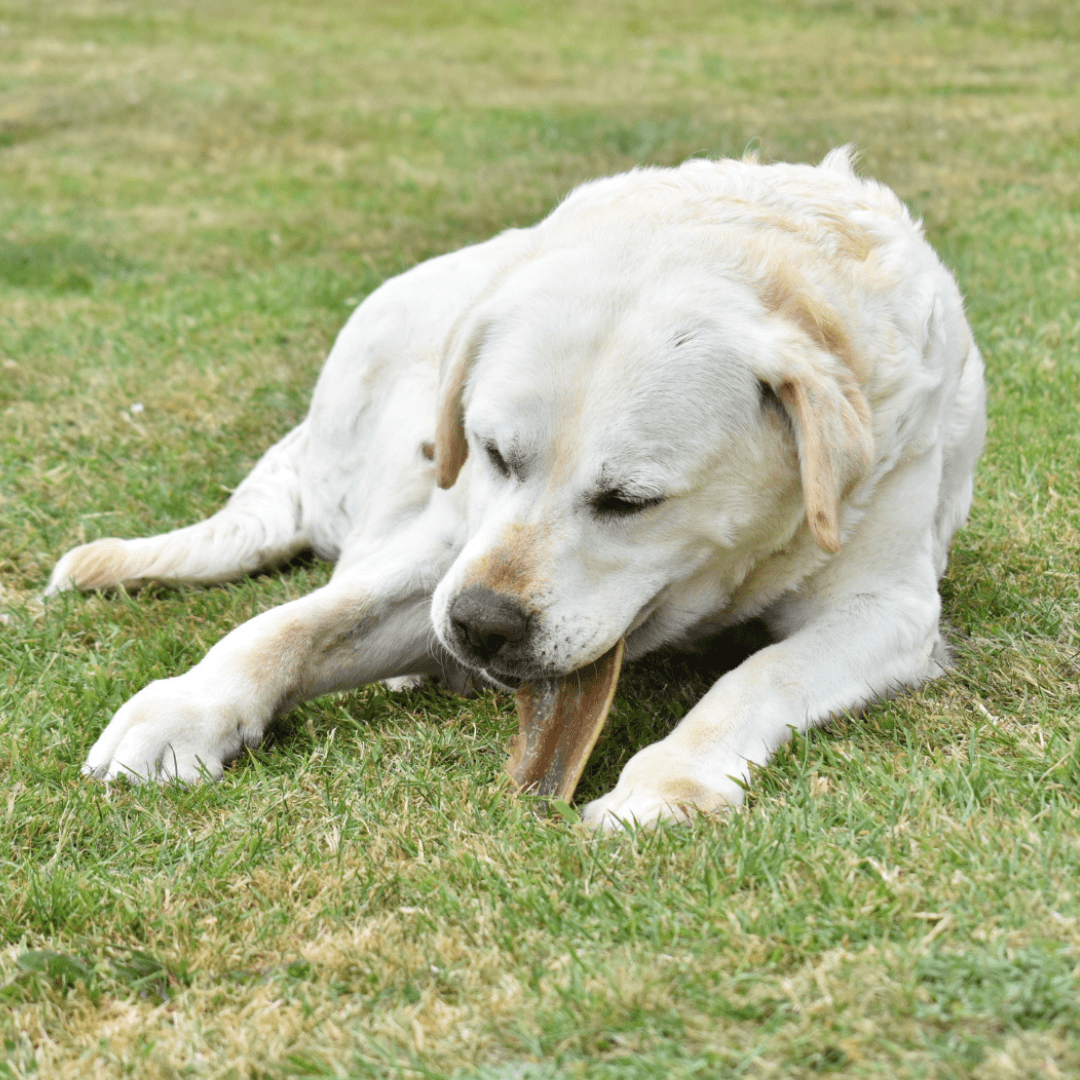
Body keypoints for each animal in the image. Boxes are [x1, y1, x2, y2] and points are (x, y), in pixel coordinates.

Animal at [44, 150, 989, 825]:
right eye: (497, 454)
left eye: (629, 502)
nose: (482, 627)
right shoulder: (455, 546)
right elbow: (294, 625)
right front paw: (188, 706)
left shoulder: (888, 608)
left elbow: (763, 675)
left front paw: (671, 781)